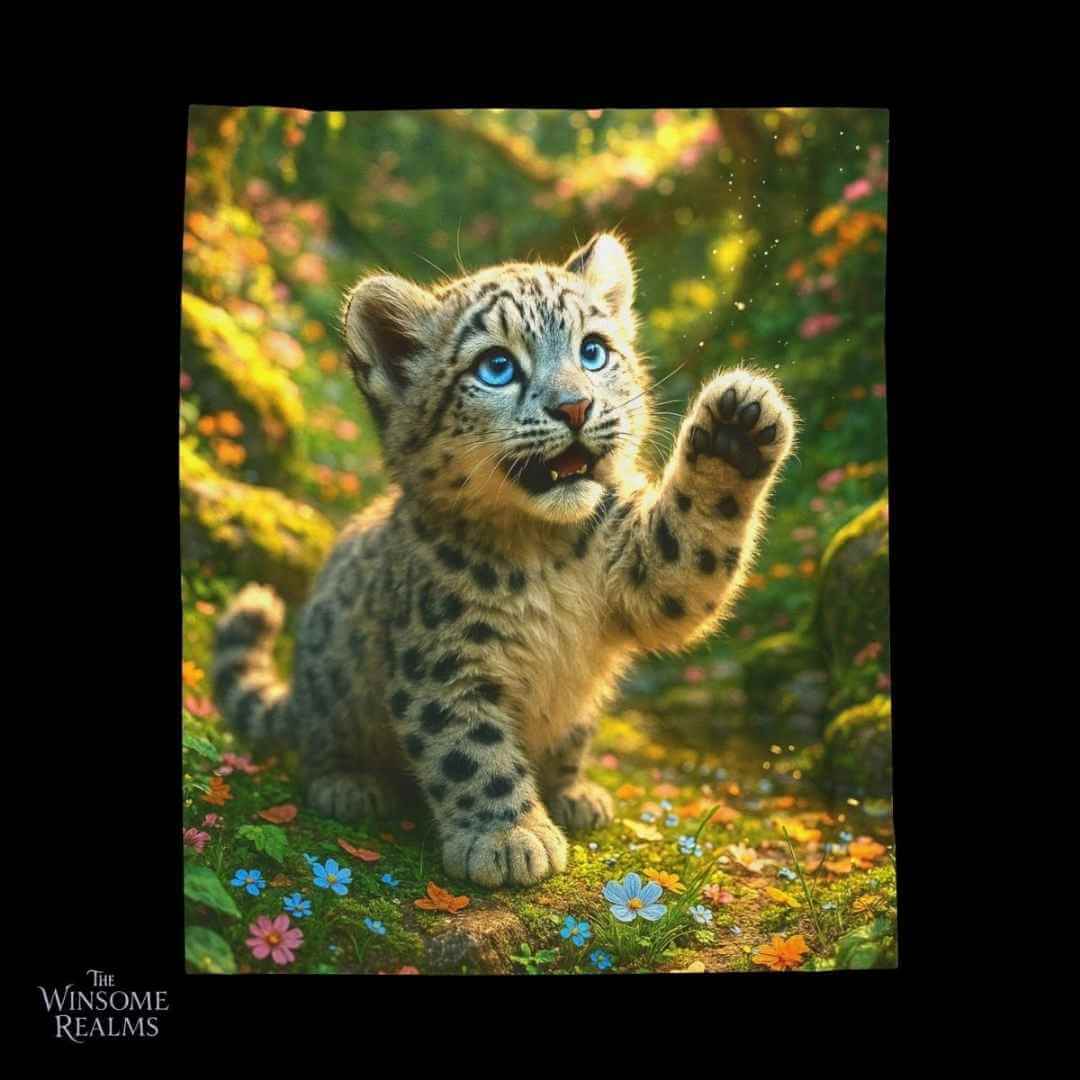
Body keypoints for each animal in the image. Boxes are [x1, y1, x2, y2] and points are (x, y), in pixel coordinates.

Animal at [212, 232, 797, 888]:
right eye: (496, 366)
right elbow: (471, 751)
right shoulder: (446, 660)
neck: (546, 550)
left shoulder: (645, 575)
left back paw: (576, 794)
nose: (575, 406)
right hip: (330, 689)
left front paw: (736, 426)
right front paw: (509, 839)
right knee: (316, 740)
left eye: (593, 351)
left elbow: (687, 557)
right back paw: (349, 786)